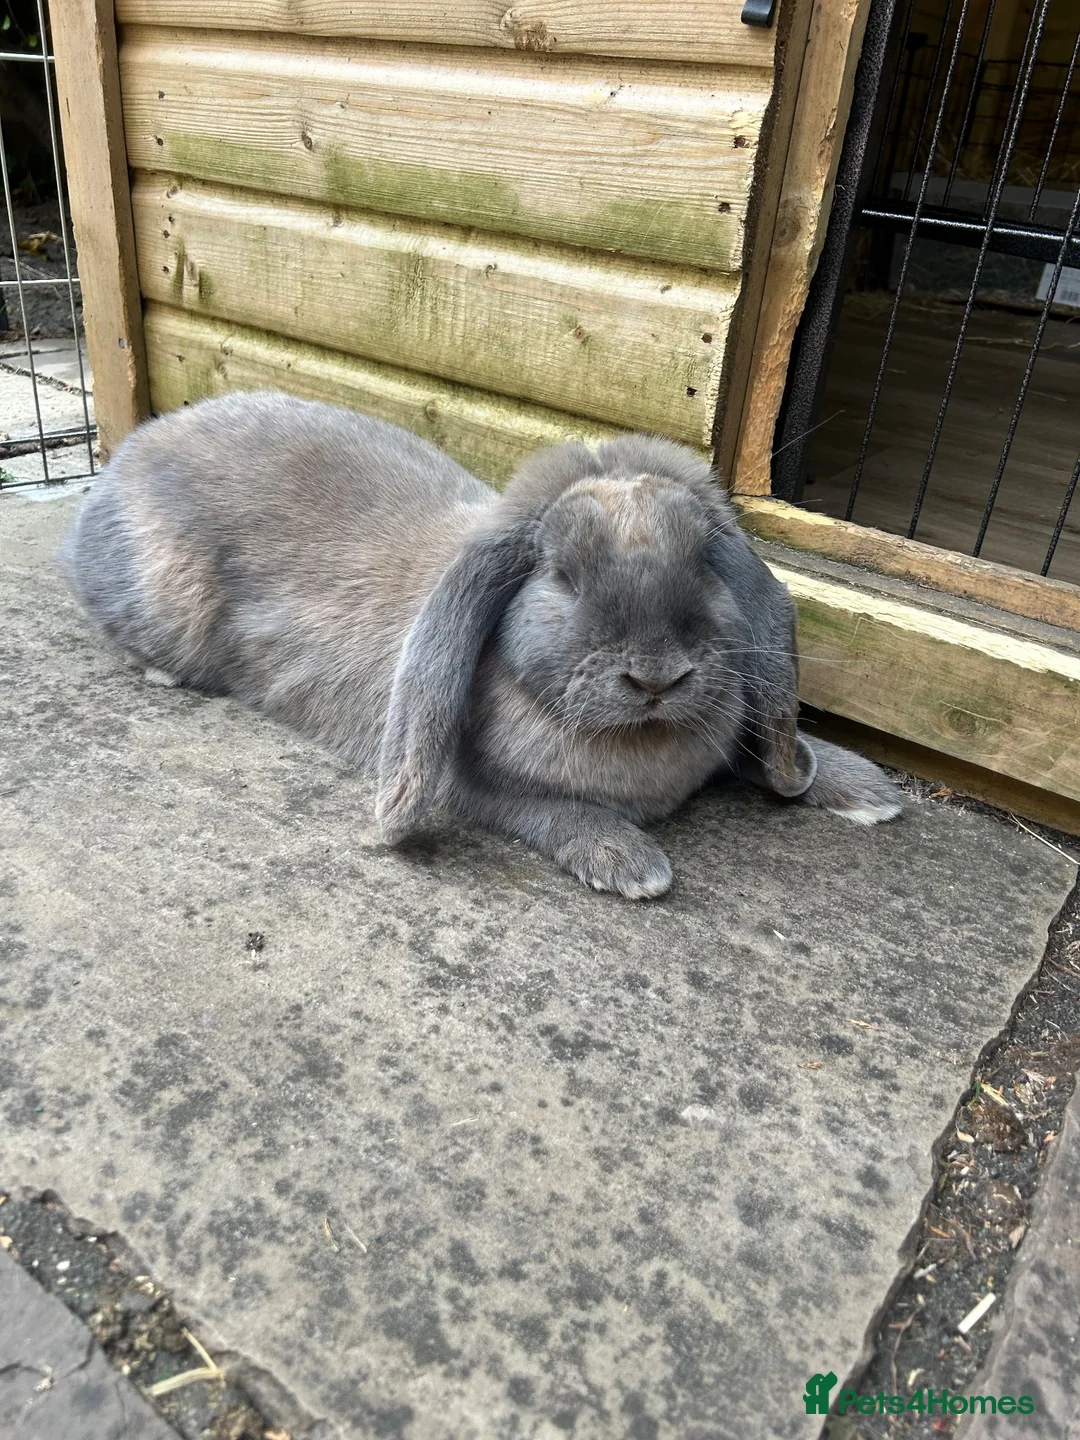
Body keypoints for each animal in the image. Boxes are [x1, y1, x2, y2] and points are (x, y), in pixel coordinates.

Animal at [60, 391, 901, 898]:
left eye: (704, 563)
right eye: (561, 575)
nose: (657, 677)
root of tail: (125, 460)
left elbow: (767, 757)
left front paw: (864, 788)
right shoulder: (478, 789)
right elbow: (552, 812)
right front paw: (629, 863)